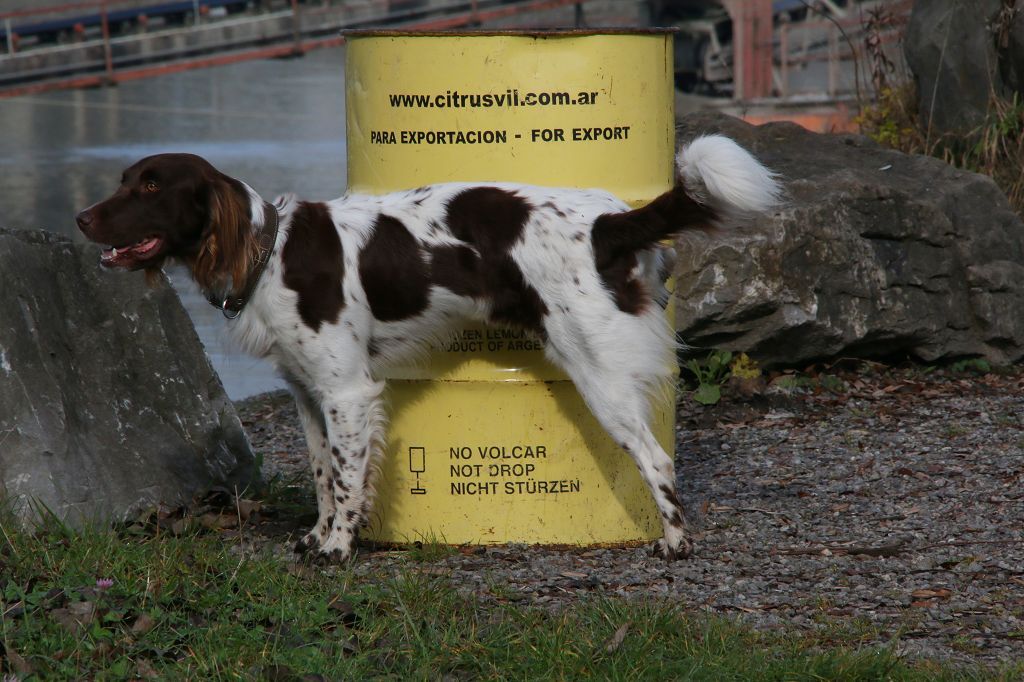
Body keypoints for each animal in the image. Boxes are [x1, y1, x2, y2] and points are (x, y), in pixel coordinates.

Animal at [76, 135, 781, 563]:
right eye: (125, 180)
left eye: (150, 188)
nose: (81, 218)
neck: (269, 252)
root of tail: (612, 222)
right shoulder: (307, 392)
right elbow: (323, 474)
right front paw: (315, 537)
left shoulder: (348, 392)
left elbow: (347, 477)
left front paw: (337, 551)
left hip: (600, 372)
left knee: (657, 459)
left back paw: (675, 543)